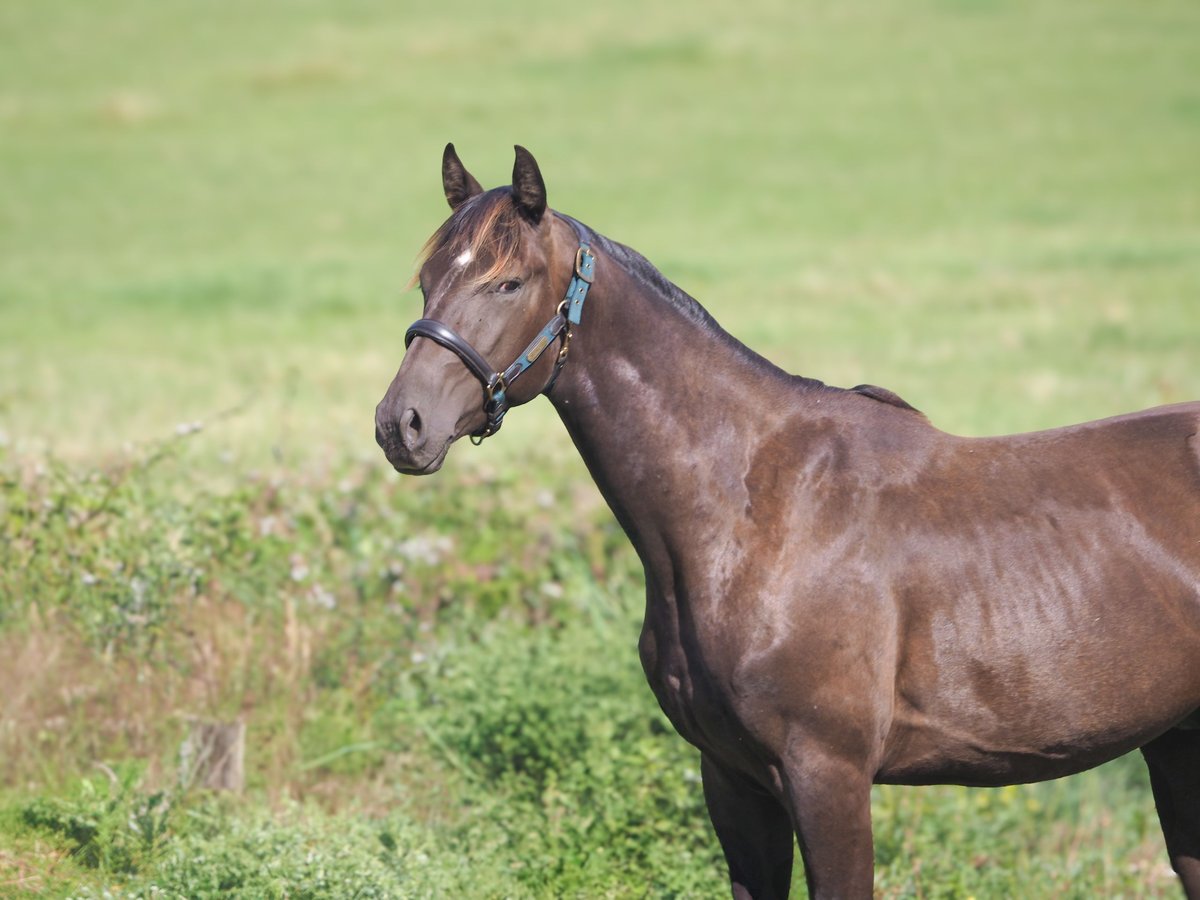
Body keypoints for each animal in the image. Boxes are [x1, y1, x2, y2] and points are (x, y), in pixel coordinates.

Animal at [374, 144, 1200, 897]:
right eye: (429, 280)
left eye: (507, 282)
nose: (401, 425)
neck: (753, 510)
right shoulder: (734, 784)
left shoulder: (827, 778)